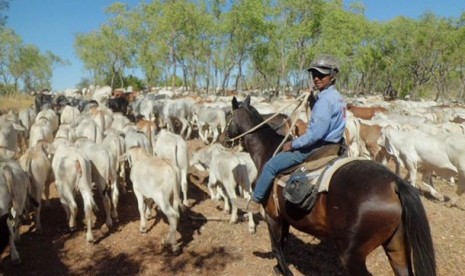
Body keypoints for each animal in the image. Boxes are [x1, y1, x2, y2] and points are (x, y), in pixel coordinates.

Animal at [221, 95, 436, 276]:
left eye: (227, 116)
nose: (223, 140)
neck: (268, 150)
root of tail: (394, 184)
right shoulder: (285, 217)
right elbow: (283, 243)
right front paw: (279, 268)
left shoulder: (273, 216)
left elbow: (276, 247)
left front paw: (284, 270)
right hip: (396, 246)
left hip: (352, 255)